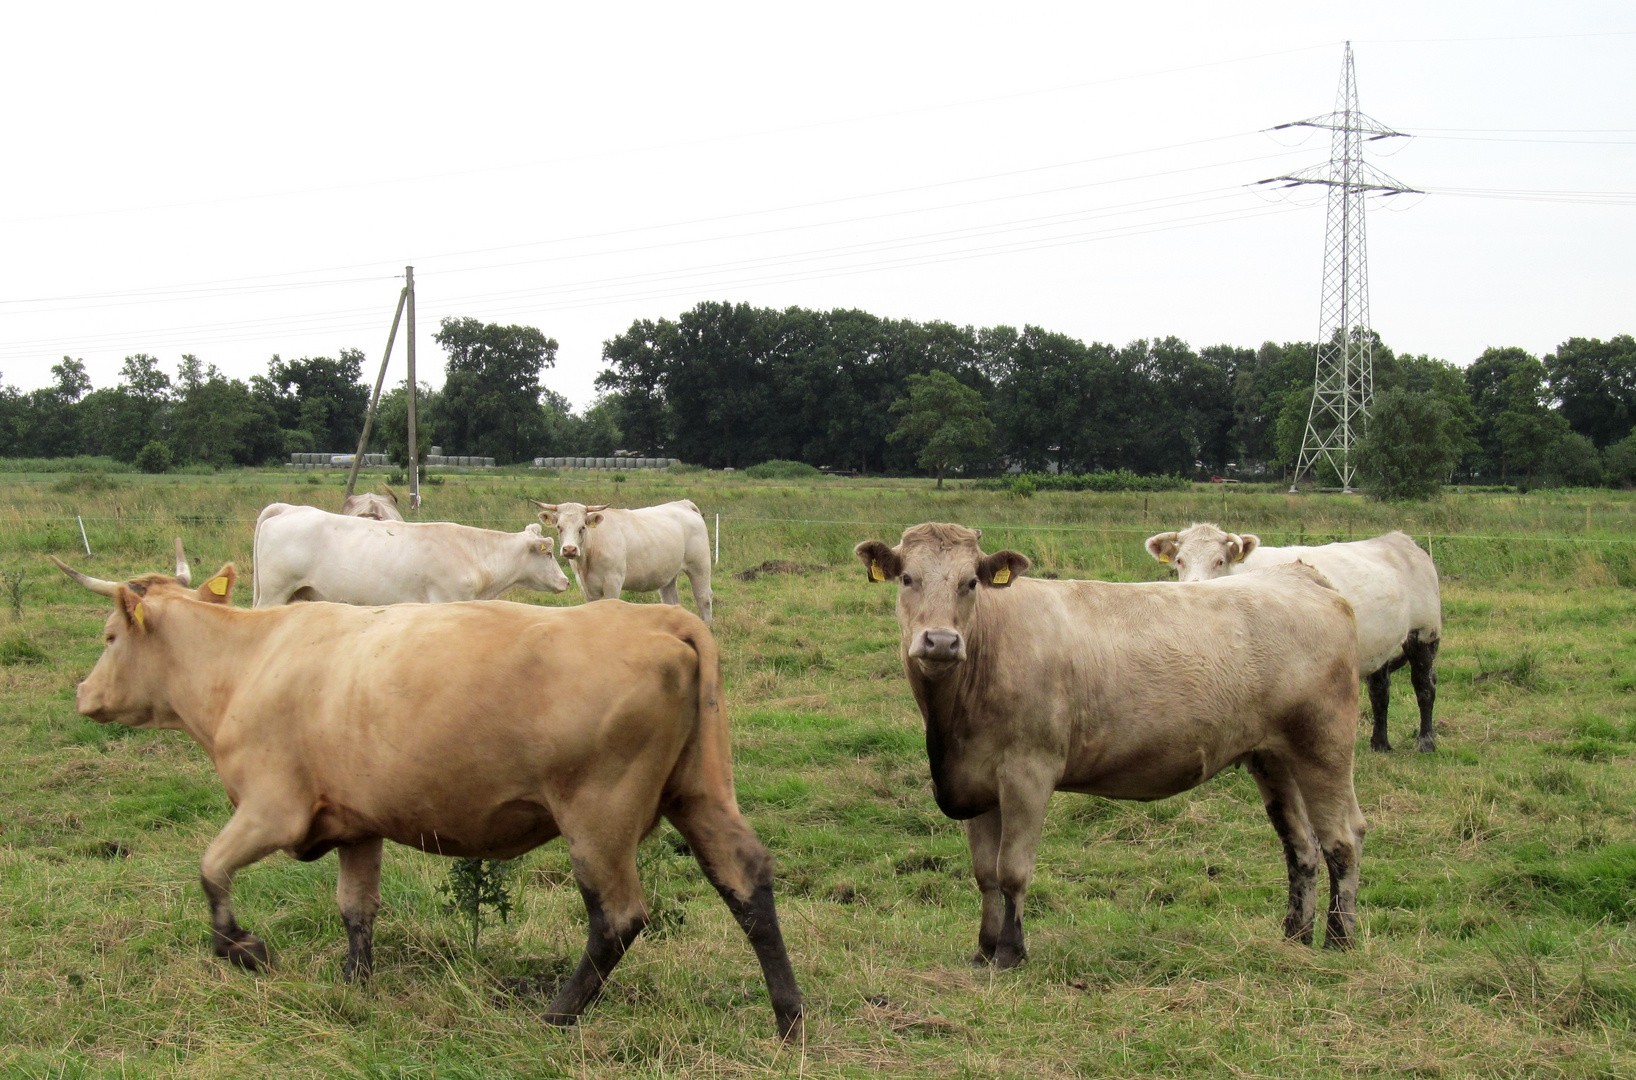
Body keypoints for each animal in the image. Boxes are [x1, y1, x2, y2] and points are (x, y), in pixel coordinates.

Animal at [56, 549, 804, 1040]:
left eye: (109, 636)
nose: (83, 694)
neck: (249, 662)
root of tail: (658, 620)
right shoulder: (356, 825)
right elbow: (356, 908)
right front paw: (355, 983)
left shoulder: (273, 809)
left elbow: (211, 869)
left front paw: (244, 948)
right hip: (701, 794)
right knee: (745, 882)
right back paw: (788, 1016)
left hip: (599, 818)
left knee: (617, 917)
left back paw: (556, 1015)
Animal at [533, 497, 713, 625]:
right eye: (559, 527)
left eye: (582, 527)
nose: (569, 549)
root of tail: (683, 503)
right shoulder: (585, 586)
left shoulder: (613, 581)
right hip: (668, 573)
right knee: (670, 601)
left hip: (700, 565)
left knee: (703, 597)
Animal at [857, 520, 1367, 962]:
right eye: (907, 578)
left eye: (970, 583)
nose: (941, 642)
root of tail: (1302, 575)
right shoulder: (976, 780)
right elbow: (985, 874)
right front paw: (983, 950)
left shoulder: (1028, 772)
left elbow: (1012, 871)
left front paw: (1010, 952)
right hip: (1272, 756)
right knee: (1301, 847)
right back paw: (1295, 936)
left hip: (1324, 745)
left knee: (1342, 839)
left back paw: (1339, 940)